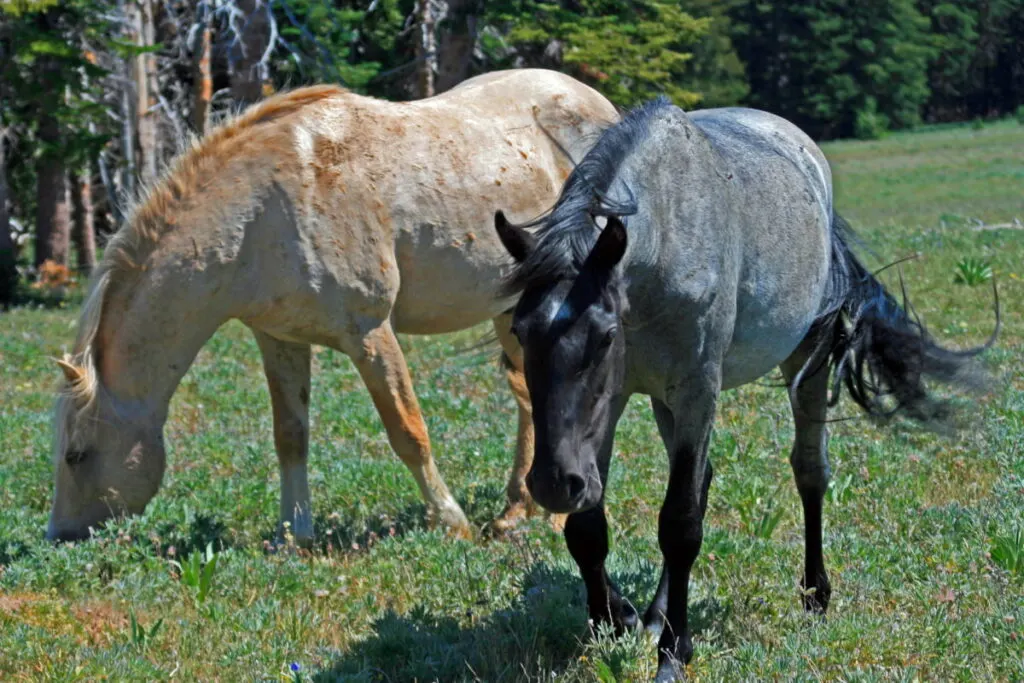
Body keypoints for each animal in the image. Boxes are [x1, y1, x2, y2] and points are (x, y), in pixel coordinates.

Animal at [46, 70, 614, 544]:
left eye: (76, 454)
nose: (59, 537)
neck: (259, 215)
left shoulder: (369, 332)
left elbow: (408, 431)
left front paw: (451, 522)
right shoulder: (280, 341)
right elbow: (290, 437)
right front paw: (294, 535)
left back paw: (554, 516)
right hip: (510, 307)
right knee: (529, 399)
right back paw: (517, 512)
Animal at [495, 98, 991, 679]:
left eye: (605, 336)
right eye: (520, 330)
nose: (552, 483)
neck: (666, 237)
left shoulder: (697, 389)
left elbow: (680, 523)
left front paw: (673, 653)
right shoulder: (611, 405)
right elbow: (587, 527)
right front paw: (612, 620)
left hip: (803, 360)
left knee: (808, 472)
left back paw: (813, 595)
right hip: (664, 401)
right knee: (703, 479)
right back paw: (655, 613)